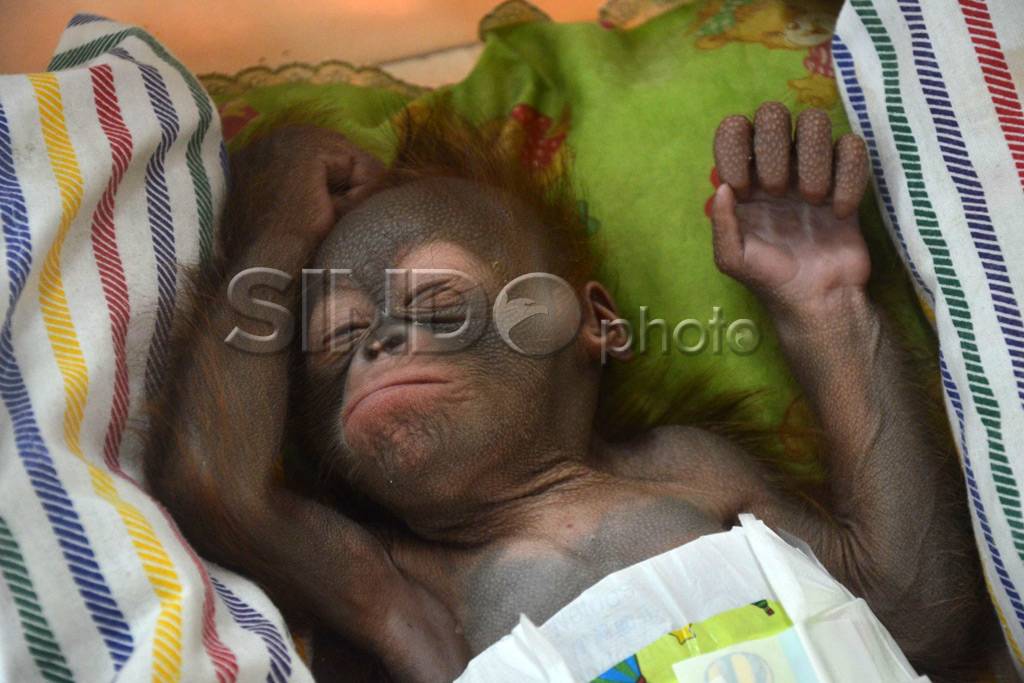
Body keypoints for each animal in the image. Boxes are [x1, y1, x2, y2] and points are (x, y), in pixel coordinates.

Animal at [144, 102, 993, 682]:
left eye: (437, 302)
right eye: (338, 340)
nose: (380, 346)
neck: (542, 495)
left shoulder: (706, 460)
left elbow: (893, 590)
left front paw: (798, 249)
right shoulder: (378, 576)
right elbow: (220, 487)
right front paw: (295, 170)